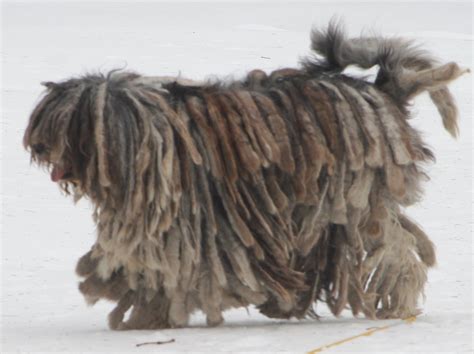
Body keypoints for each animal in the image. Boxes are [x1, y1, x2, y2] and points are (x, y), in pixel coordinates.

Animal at [23, 24, 466, 330]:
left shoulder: (193, 228)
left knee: (396, 252)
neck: (150, 139)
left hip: (355, 201)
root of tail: (380, 90)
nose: (38, 147)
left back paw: (395, 300)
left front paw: (151, 315)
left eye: (67, 124)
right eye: (46, 119)